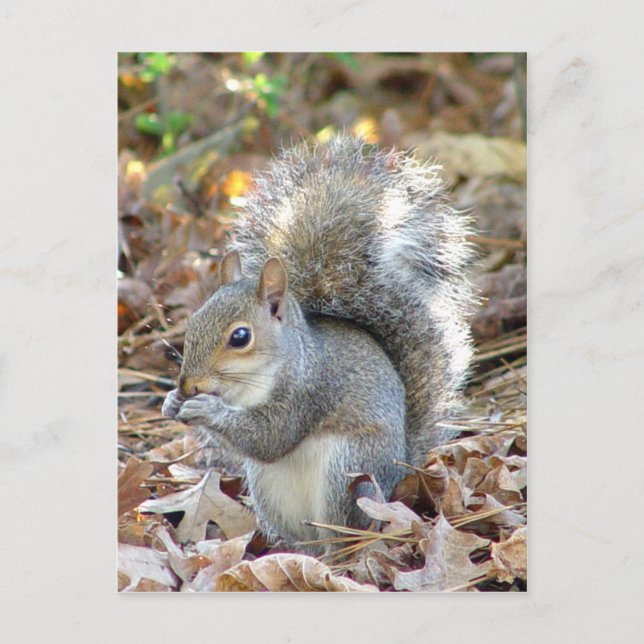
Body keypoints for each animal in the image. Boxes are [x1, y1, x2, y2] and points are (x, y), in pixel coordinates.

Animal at [162, 135, 475, 551]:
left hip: (349, 468)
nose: (188, 384)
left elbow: (270, 438)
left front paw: (206, 409)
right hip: (267, 488)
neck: (250, 385)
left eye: (240, 337)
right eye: (193, 321)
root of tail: (398, 472)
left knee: (341, 528)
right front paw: (172, 401)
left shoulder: (308, 390)